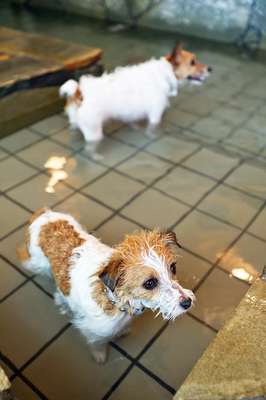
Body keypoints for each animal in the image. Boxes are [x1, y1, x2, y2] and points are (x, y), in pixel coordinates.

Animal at [17, 208, 194, 364]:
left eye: (173, 267)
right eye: (149, 283)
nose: (188, 302)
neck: (116, 299)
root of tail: (43, 214)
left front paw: (123, 332)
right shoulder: (93, 331)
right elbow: (97, 343)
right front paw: (99, 355)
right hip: (39, 265)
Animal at [59, 42, 211, 158]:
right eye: (192, 62)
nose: (210, 68)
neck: (166, 73)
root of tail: (79, 93)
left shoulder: (132, 113)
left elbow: (132, 121)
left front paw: (136, 127)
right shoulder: (155, 114)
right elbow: (152, 128)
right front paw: (153, 136)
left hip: (77, 123)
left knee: (74, 131)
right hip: (94, 131)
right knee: (89, 147)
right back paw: (95, 156)